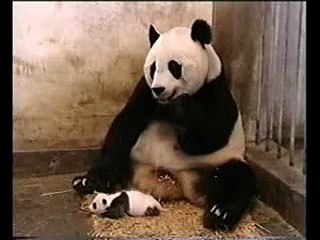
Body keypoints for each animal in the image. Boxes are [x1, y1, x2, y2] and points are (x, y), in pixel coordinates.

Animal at [72, 19, 255, 231]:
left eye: (174, 66)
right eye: (153, 67)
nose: (159, 89)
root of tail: (174, 183)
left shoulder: (214, 89)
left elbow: (208, 139)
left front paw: (183, 106)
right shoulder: (145, 90)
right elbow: (126, 124)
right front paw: (96, 179)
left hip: (215, 165)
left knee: (237, 178)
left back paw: (219, 213)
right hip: (134, 160)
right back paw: (85, 182)